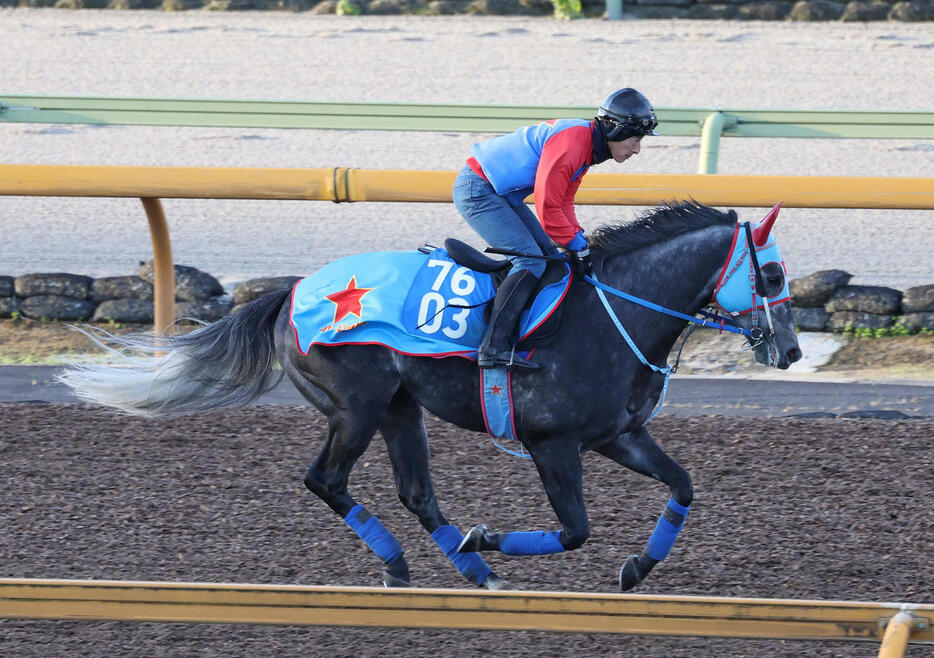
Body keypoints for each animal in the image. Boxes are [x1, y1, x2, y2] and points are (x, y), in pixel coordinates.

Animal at [60, 200, 804, 588]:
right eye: (769, 275)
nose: (792, 350)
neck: (617, 312)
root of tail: (294, 291)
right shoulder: (553, 445)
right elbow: (574, 530)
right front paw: (489, 535)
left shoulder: (619, 435)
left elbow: (682, 485)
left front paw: (636, 568)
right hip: (356, 407)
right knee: (325, 480)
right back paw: (406, 564)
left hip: (400, 406)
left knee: (416, 492)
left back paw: (471, 570)